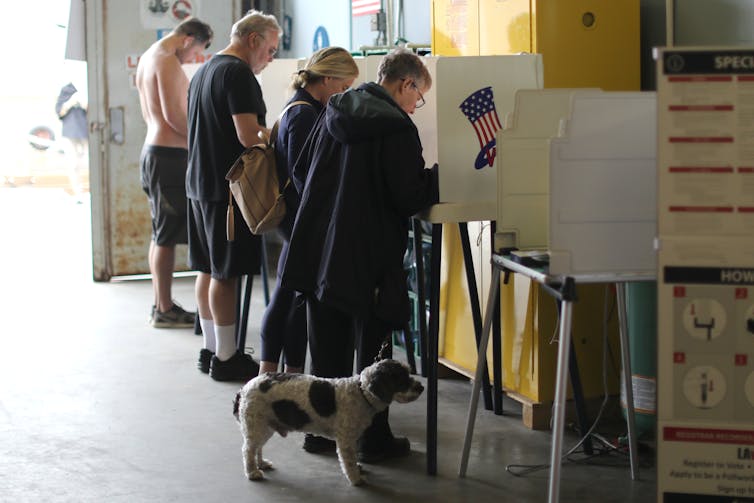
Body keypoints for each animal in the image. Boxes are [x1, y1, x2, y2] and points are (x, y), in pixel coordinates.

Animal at [234, 360, 424, 486]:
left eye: (408, 373)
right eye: (400, 378)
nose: (421, 387)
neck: (361, 392)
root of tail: (244, 389)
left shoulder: (352, 438)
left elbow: (353, 459)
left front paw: (357, 469)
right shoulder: (345, 441)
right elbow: (348, 462)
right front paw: (356, 478)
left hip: (264, 426)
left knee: (257, 448)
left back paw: (261, 464)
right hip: (257, 426)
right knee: (247, 450)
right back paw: (252, 472)